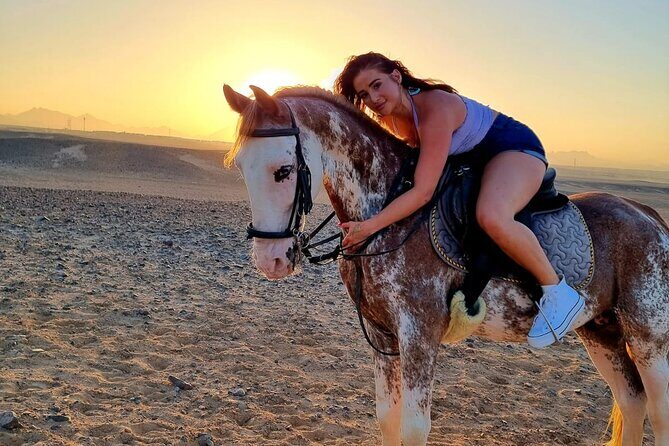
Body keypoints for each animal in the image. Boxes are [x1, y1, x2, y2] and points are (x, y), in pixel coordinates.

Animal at [222, 84, 669, 446]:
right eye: (240, 167)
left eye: (282, 170)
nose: (270, 260)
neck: (390, 214)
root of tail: (647, 214)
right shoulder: (383, 336)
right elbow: (388, 420)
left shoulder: (419, 336)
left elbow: (414, 428)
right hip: (600, 330)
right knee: (631, 401)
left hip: (649, 336)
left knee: (658, 412)